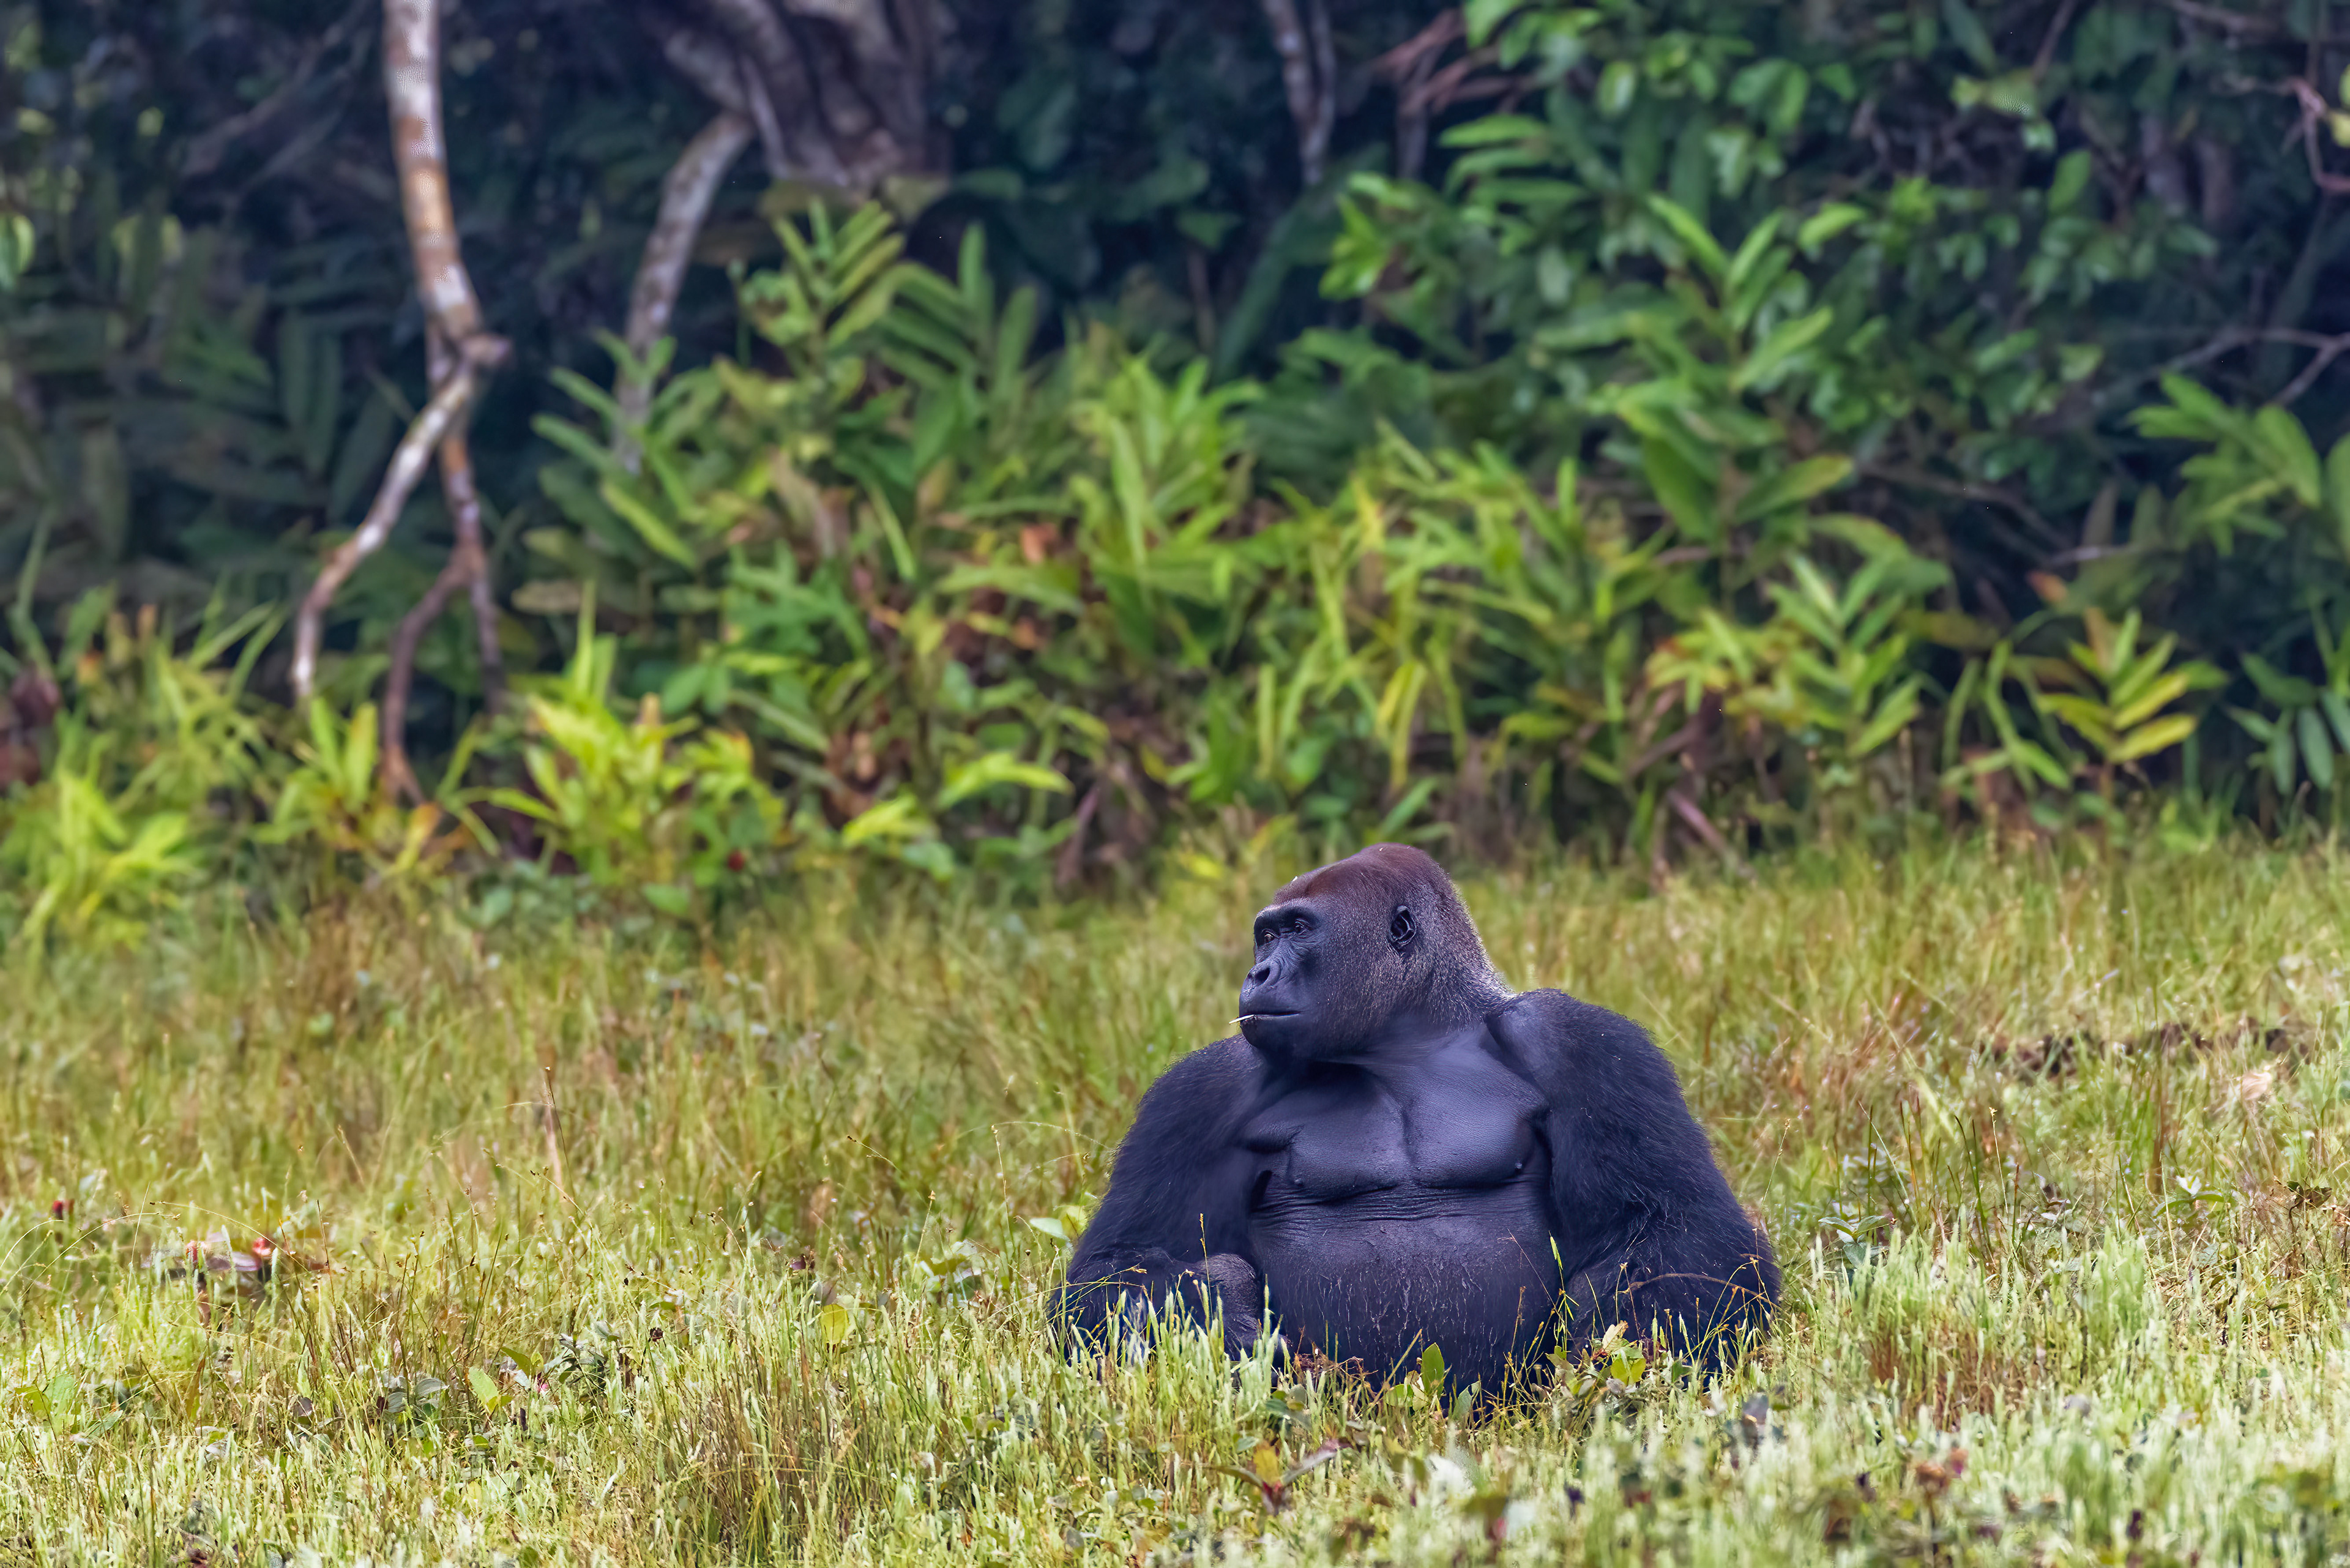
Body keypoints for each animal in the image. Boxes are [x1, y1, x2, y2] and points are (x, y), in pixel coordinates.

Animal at [1056, 843, 1777, 1395]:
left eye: (1297, 931)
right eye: (1266, 935)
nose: (1257, 973)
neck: (1407, 1037)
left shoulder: (1579, 1042)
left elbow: (1673, 1224)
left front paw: (1628, 1365)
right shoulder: (1204, 1091)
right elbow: (1123, 1265)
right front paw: (1220, 1322)